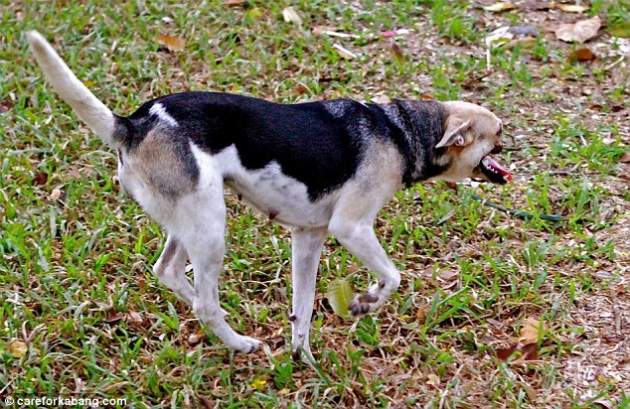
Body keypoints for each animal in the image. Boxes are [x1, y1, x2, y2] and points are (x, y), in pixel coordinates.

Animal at [28, 31, 512, 360]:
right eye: (497, 133)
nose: (514, 148)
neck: (401, 129)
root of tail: (134, 123)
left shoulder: (308, 238)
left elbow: (303, 309)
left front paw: (304, 360)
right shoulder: (351, 228)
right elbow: (392, 277)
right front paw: (365, 303)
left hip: (190, 220)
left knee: (168, 272)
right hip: (211, 225)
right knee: (204, 302)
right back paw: (239, 343)